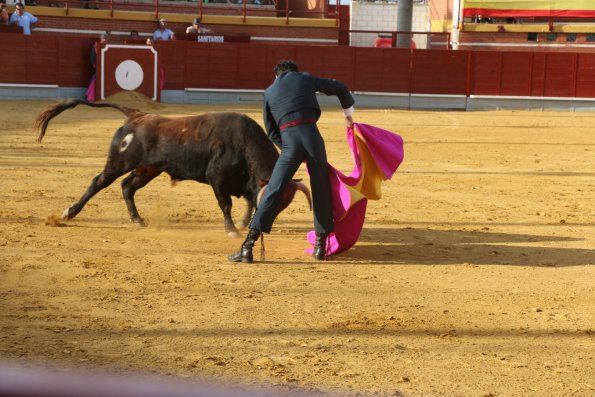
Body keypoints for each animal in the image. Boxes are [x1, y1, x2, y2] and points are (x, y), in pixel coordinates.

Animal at [35, 99, 312, 235]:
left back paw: (138, 220)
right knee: (99, 182)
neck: (243, 141)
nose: (268, 225)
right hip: (120, 162)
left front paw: (243, 224)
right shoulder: (217, 178)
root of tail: (137, 115)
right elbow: (227, 204)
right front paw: (232, 229)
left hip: (148, 169)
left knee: (128, 187)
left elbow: (246, 202)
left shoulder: (243, 182)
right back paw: (69, 213)